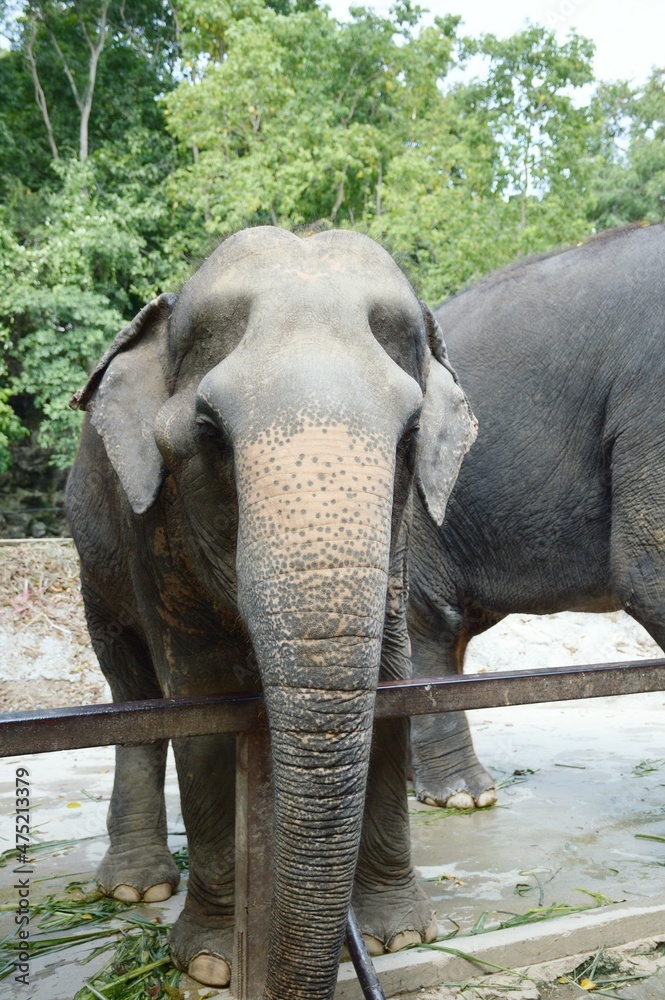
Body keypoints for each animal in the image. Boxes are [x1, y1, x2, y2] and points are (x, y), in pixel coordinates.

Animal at [65, 226, 477, 999]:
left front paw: (401, 935)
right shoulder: (152, 529)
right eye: (207, 431)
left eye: (411, 435)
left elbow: (391, 684)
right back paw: (135, 890)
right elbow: (198, 706)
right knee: (132, 693)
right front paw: (212, 963)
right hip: (92, 558)